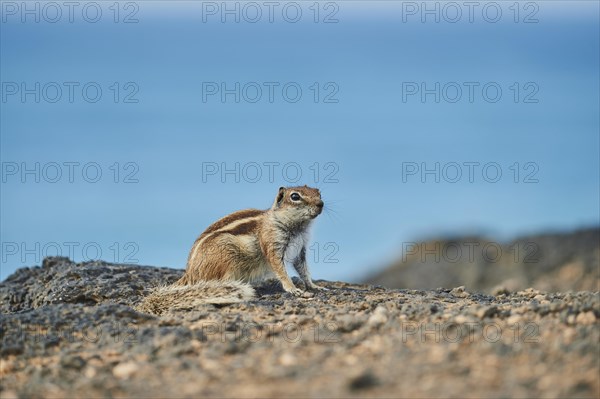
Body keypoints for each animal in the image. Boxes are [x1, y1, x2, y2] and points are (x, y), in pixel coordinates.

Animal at [137, 187, 324, 316]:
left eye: (318, 192)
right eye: (295, 196)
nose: (321, 204)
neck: (297, 227)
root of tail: (190, 274)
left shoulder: (301, 250)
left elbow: (304, 270)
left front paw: (314, 286)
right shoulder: (272, 245)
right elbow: (280, 269)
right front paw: (294, 289)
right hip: (228, 259)